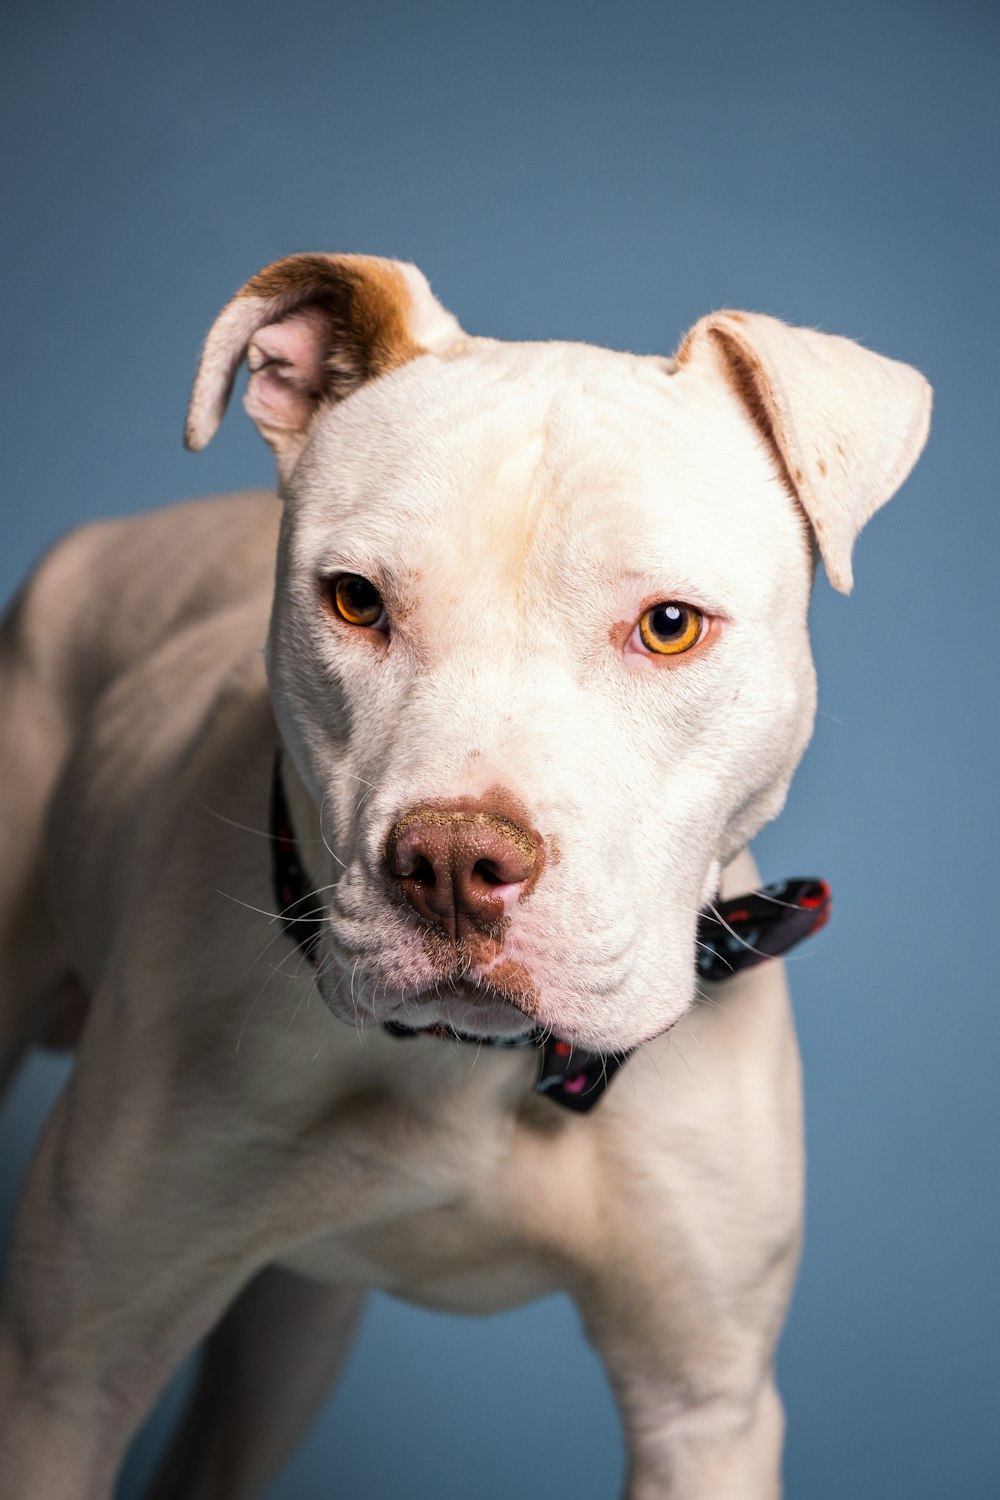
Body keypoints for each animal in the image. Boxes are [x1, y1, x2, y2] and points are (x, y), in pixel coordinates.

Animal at [0, 252, 929, 1494]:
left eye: (669, 626)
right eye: (355, 600)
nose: (450, 863)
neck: (476, 1069)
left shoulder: (703, 1408)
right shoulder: (66, 1373)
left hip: (288, 1338)